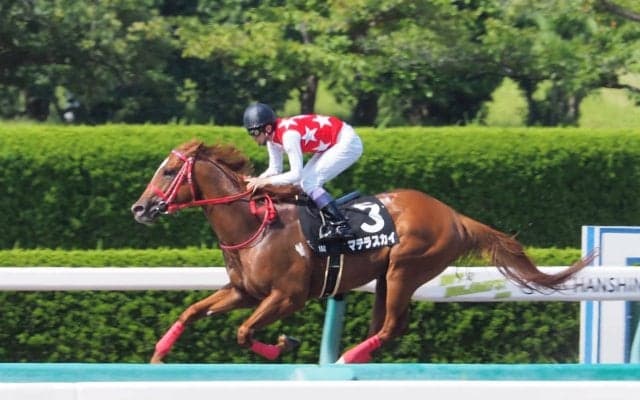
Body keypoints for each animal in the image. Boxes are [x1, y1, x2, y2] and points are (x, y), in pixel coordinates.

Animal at [131, 139, 592, 364]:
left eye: (168, 172)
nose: (139, 208)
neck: (253, 226)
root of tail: (454, 216)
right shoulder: (244, 291)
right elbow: (191, 312)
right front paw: (158, 354)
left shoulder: (287, 297)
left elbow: (244, 332)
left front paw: (284, 343)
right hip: (386, 278)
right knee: (385, 329)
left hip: (405, 270)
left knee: (390, 328)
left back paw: (344, 360)